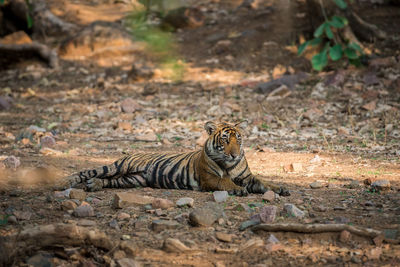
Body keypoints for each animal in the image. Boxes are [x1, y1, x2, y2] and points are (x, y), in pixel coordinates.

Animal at [59, 122, 290, 197]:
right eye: (225, 140)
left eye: (238, 139)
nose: (234, 154)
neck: (229, 163)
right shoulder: (209, 178)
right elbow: (224, 181)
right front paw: (238, 189)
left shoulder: (248, 177)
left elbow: (263, 182)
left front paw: (280, 188)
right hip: (119, 166)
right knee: (89, 171)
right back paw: (66, 182)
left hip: (130, 179)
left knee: (108, 181)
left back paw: (94, 185)